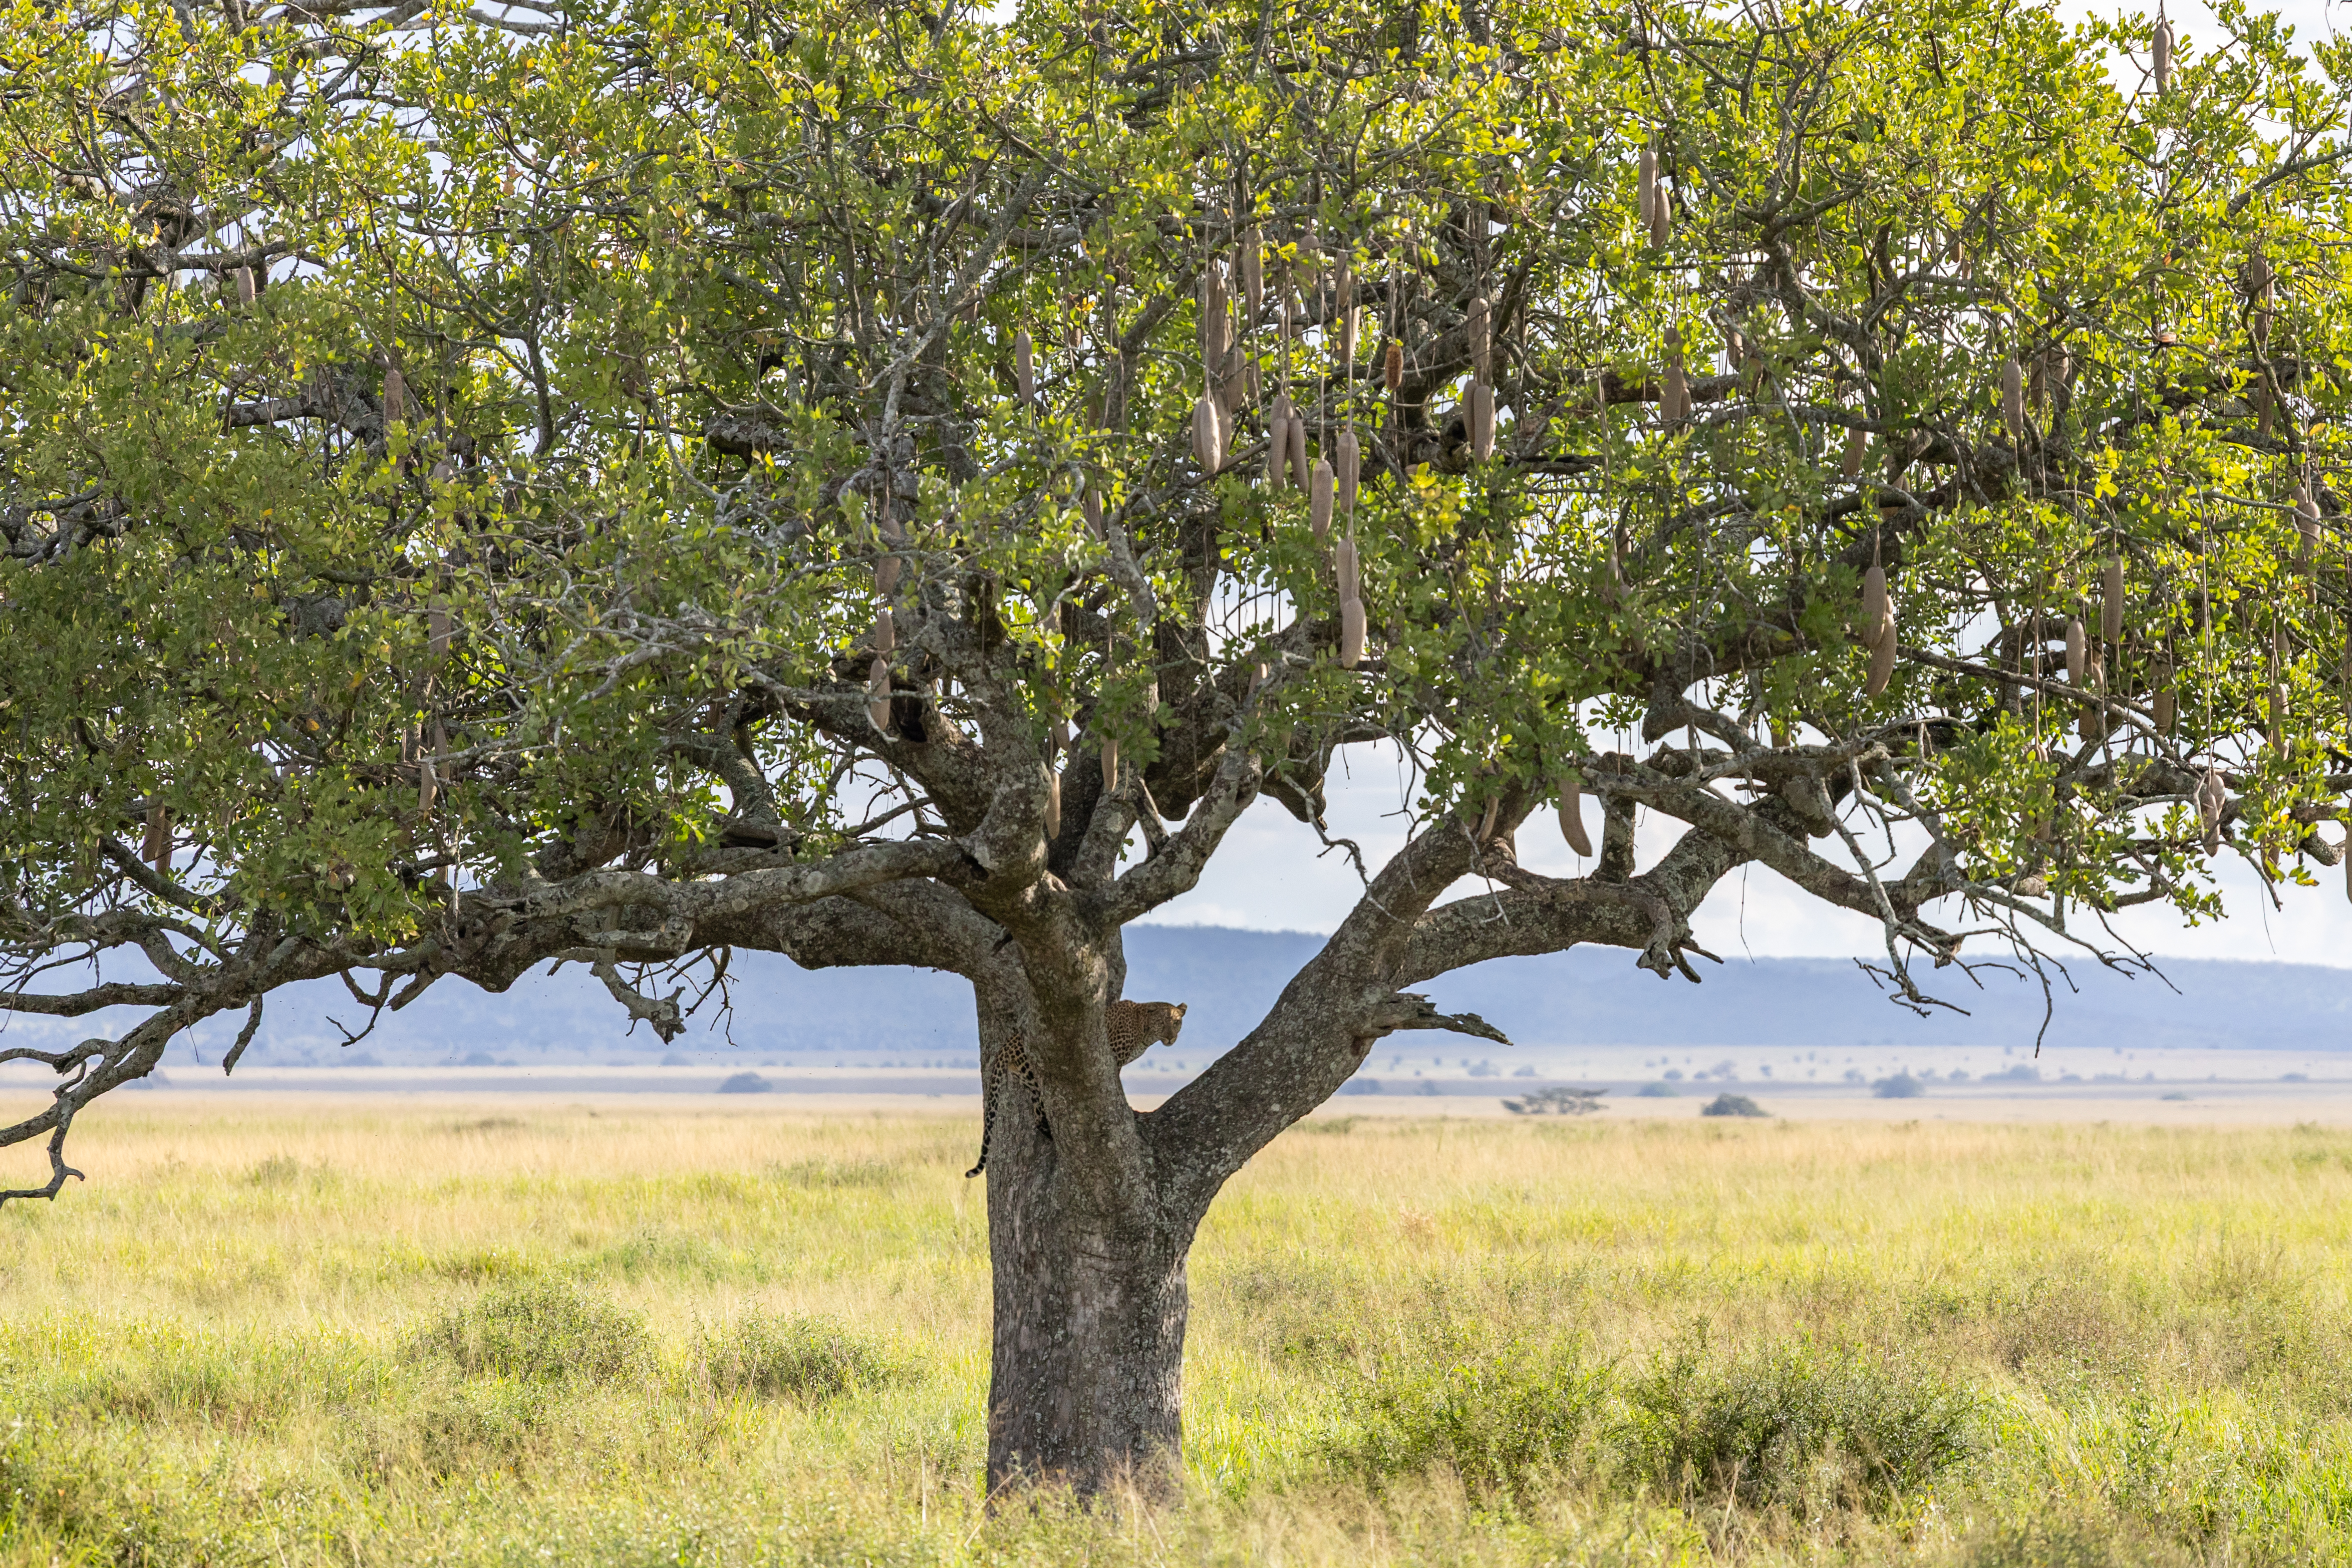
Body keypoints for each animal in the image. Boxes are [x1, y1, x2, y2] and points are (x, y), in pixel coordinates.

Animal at [965, 1000, 1187, 1178]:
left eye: (1176, 1023)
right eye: (1162, 1023)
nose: (1170, 1038)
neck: (1144, 1030)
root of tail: (1006, 1045)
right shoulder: (1112, 1058)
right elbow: (1114, 1084)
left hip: (1031, 1082)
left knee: (1037, 1115)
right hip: (1038, 1074)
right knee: (1040, 1114)